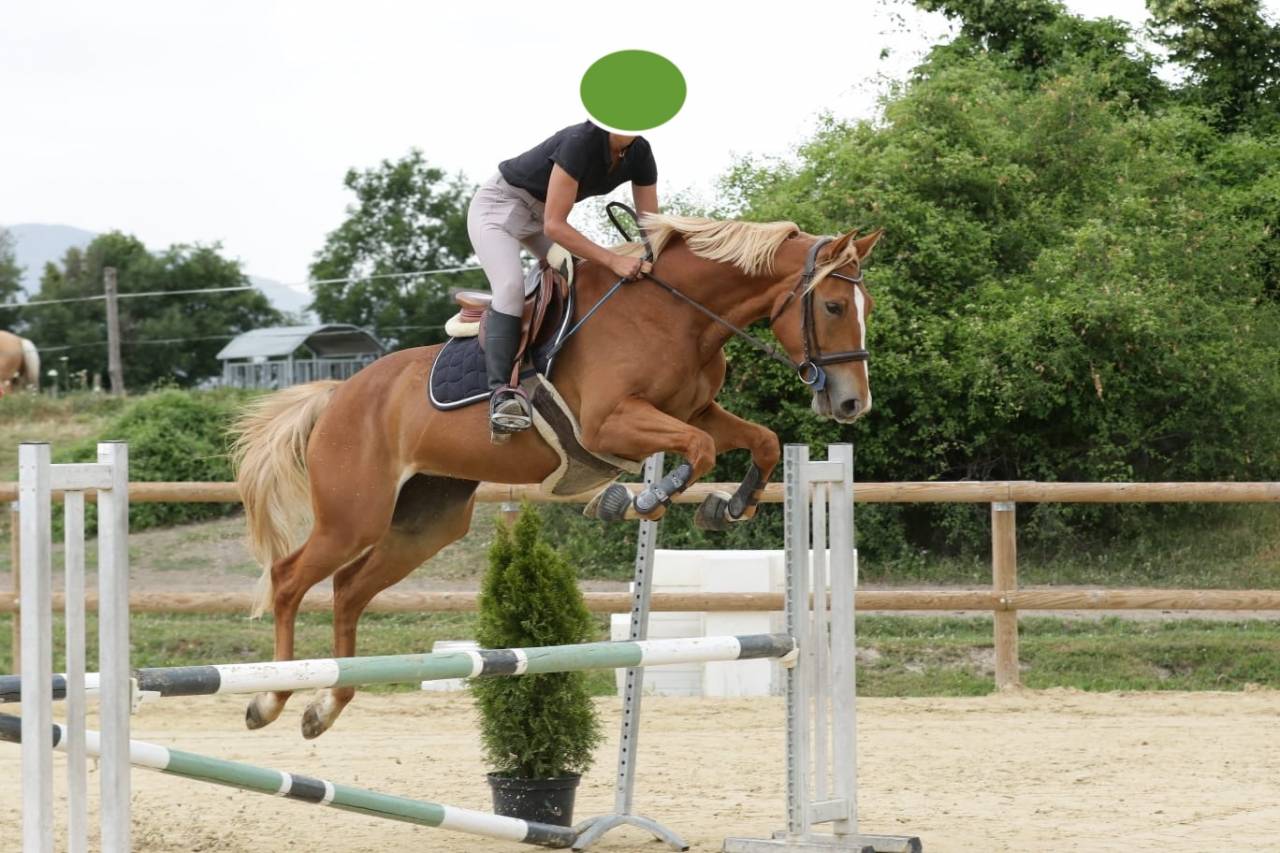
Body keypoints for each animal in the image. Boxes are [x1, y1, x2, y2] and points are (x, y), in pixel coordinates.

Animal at [231, 213, 881, 738]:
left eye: (863, 308)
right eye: (832, 307)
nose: (853, 404)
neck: (675, 315)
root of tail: (338, 392)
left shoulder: (696, 412)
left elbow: (760, 442)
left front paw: (725, 506)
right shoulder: (611, 424)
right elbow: (695, 453)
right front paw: (635, 500)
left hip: (425, 523)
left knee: (348, 591)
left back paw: (325, 706)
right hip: (353, 516)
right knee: (288, 581)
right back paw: (271, 698)